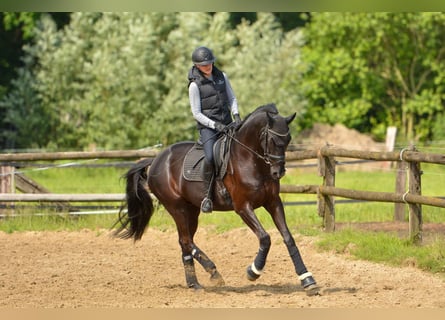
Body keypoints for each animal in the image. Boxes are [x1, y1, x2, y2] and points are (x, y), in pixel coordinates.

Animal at [112, 104, 318, 296]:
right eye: (273, 140)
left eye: (288, 140)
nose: (278, 172)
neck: (250, 160)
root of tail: (155, 160)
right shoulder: (243, 207)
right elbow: (265, 238)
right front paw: (253, 271)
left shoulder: (273, 202)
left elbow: (288, 238)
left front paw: (307, 280)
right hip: (177, 208)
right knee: (185, 240)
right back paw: (211, 272)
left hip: (191, 211)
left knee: (185, 241)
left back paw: (195, 282)